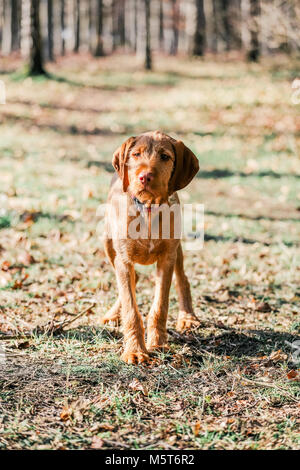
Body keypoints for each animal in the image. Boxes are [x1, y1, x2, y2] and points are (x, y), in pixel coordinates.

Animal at [102, 130, 199, 366]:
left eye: (164, 156)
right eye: (136, 155)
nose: (144, 177)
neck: (147, 209)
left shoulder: (166, 258)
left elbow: (160, 306)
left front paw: (159, 344)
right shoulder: (123, 259)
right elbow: (131, 308)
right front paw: (135, 351)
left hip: (177, 250)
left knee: (182, 279)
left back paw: (187, 317)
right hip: (108, 244)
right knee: (130, 281)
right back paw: (113, 314)